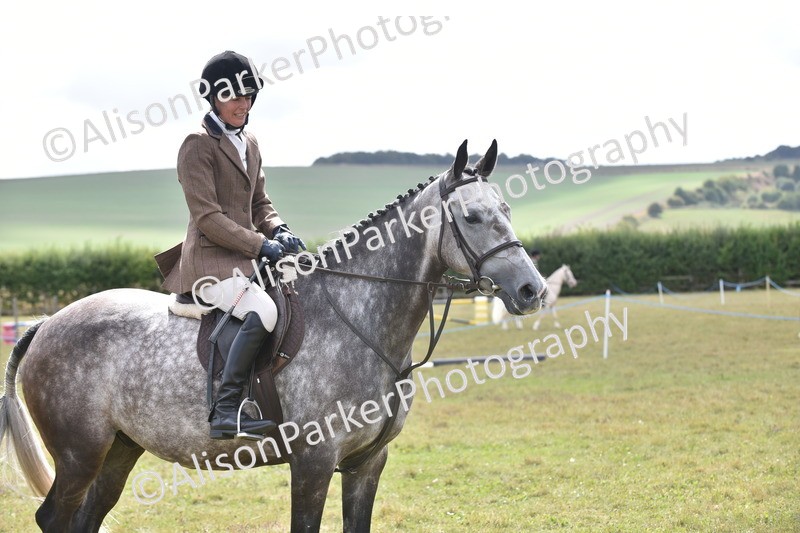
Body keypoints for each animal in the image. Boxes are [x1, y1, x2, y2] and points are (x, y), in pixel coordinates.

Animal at [0, 139, 547, 533]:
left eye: (506, 209)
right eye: (472, 216)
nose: (532, 290)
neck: (360, 320)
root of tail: (48, 322)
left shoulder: (367, 464)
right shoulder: (313, 464)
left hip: (118, 449)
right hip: (79, 453)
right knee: (54, 518)